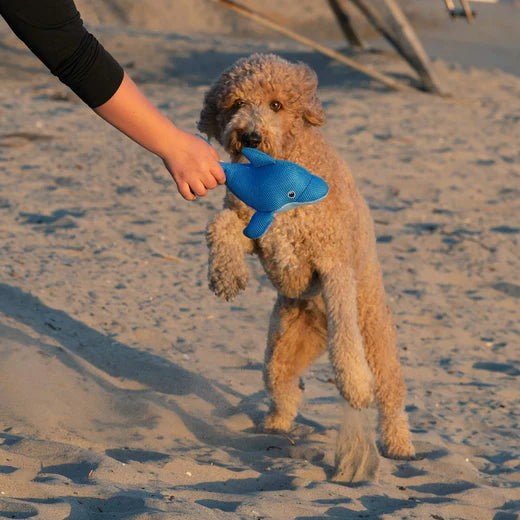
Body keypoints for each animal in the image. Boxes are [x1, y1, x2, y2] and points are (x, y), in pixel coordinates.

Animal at [199, 53, 414, 468]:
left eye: (276, 105)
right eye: (236, 103)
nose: (250, 137)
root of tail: (317, 326)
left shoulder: (333, 263)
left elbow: (346, 335)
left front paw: (354, 384)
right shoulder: (253, 230)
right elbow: (219, 226)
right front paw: (227, 274)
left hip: (376, 338)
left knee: (390, 395)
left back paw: (399, 445)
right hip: (281, 349)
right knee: (286, 390)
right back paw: (273, 427)